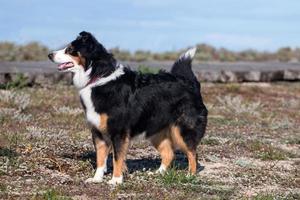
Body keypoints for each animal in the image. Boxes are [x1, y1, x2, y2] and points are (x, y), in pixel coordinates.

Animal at [48, 31, 207, 184]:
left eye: (70, 49)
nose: (49, 55)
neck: (98, 77)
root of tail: (190, 83)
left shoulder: (119, 132)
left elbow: (117, 158)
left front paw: (116, 180)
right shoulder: (98, 133)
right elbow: (100, 159)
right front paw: (97, 179)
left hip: (182, 130)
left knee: (193, 153)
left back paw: (189, 176)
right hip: (155, 131)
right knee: (169, 153)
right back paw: (158, 173)